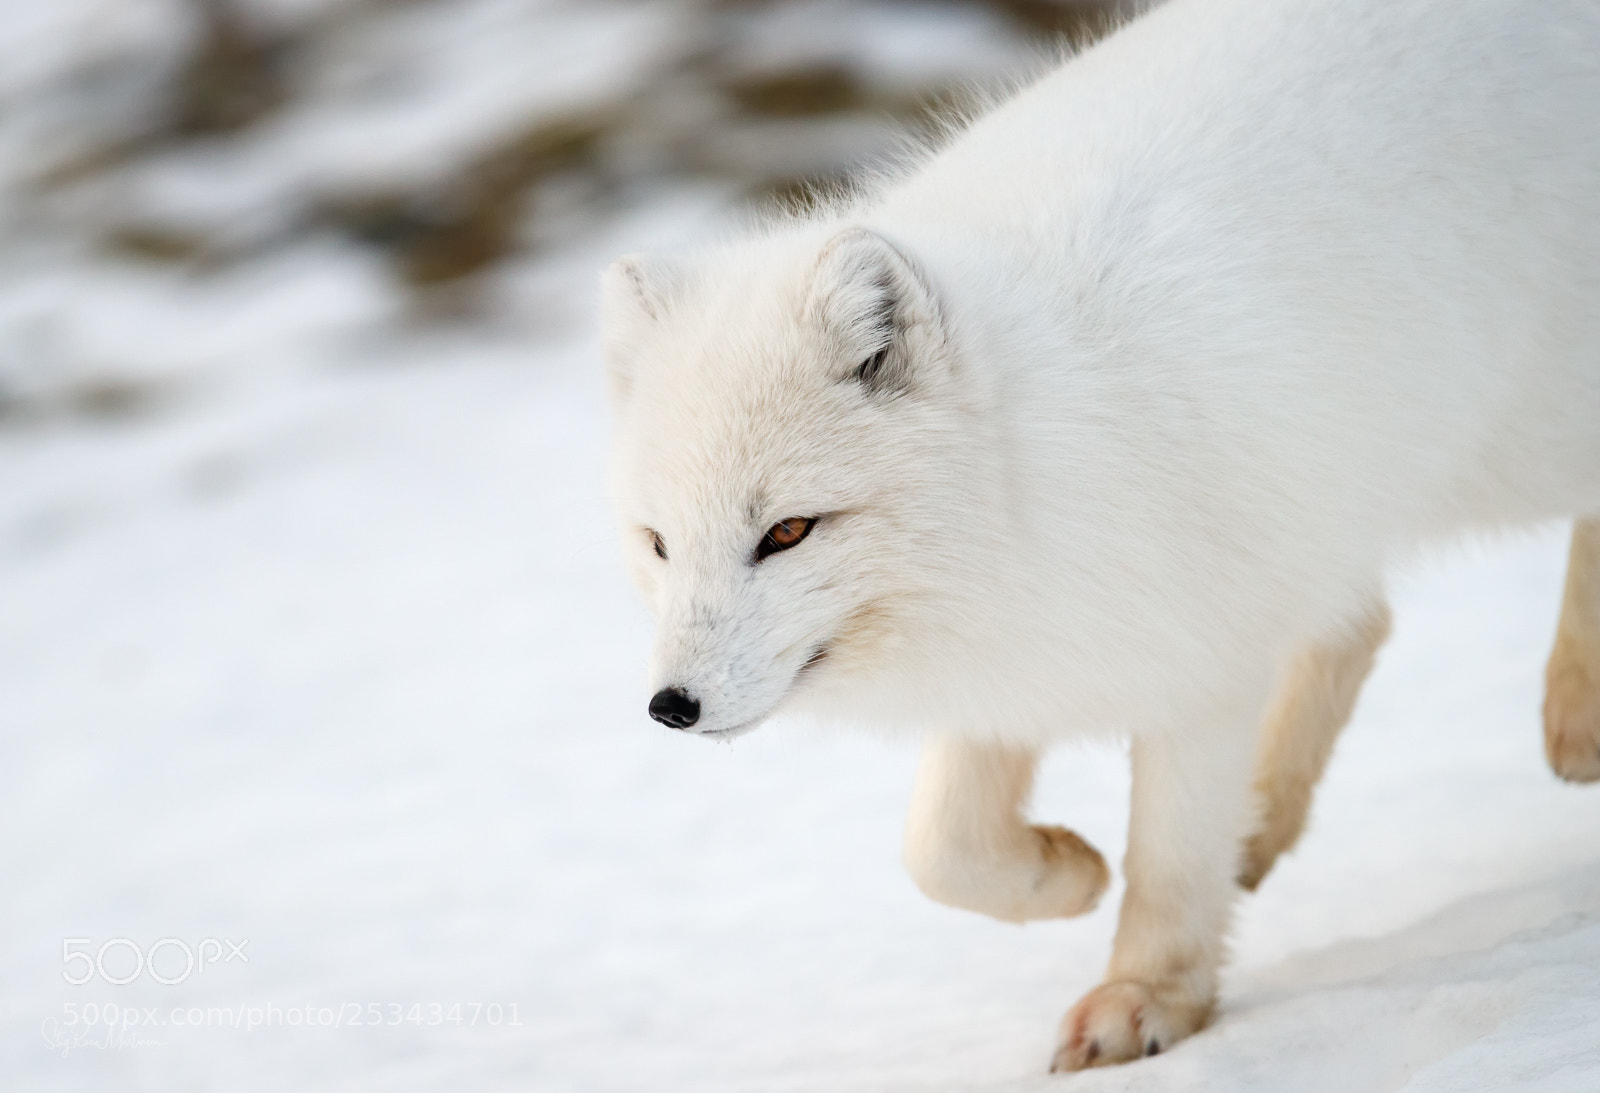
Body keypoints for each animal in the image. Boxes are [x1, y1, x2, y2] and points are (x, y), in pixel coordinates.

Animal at [601, 0, 1600, 1072]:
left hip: (1514, 446)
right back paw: (1261, 821)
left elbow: (1165, 858)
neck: (1032, 466)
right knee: (1360, 623)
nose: (671, 706)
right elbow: (938, 850)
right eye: (658, 542)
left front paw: (1147, 1000)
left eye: (786, 531)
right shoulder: (1017, 664)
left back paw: (1576, 708)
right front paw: (1069, 870)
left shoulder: (1201, 661)